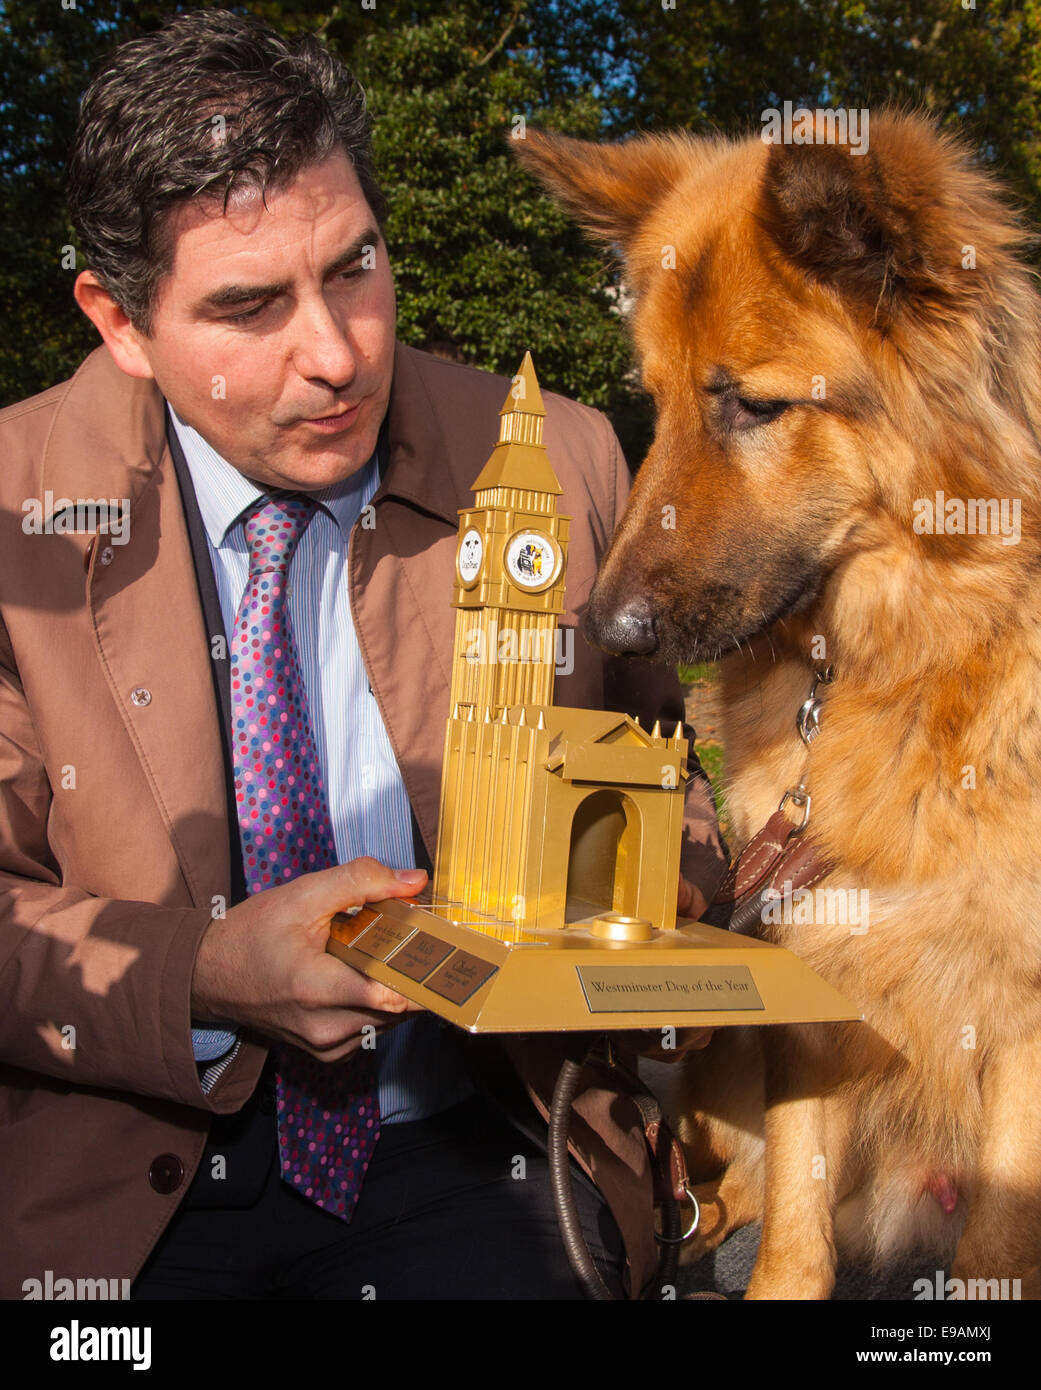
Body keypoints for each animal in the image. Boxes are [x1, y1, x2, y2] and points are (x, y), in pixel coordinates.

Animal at [517, 113, 1039, 1295]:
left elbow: (999, 1237)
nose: (606, 631)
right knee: (720, 1189)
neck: (907, 661)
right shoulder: (809, 983)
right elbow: (797, 1228)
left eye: (754, 405)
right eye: (654, 399)